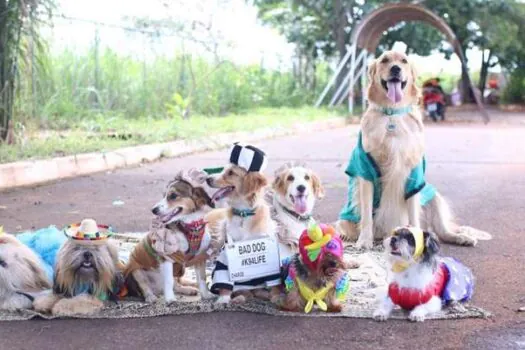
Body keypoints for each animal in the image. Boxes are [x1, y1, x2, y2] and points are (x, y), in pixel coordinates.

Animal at [124, 172, 222, 304]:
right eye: (164, 195)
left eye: (173, 196)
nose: (153, 210)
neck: (188, 227)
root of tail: (158, 289)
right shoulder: (167, 257)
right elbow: (169, 281)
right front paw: (170, 299)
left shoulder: (200, 257)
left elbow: (201, 278)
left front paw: (206, 295)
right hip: (136, 270)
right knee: (145, 286)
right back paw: (150, 297)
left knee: (177, 285)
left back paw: (189, 290)